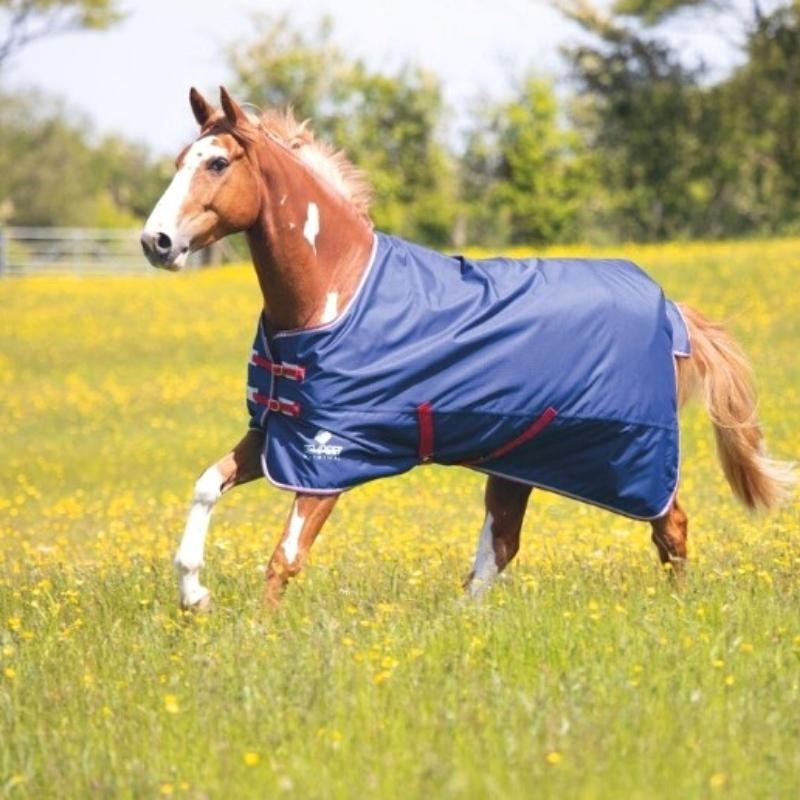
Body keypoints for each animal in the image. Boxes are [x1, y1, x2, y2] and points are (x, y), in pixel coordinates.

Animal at [141, 87, 794, 611]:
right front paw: (194, 596)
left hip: (625, 456)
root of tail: (673, 312)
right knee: (500, 546)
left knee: (670, 526)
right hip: (522, 456)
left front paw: (259, 630)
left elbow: (286, 556)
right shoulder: (279, 436)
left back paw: (679, 609)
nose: (156, 242)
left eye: (217, 162)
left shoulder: (332, 455)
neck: (334, 293)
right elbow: (206, 485)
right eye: (178, 163)